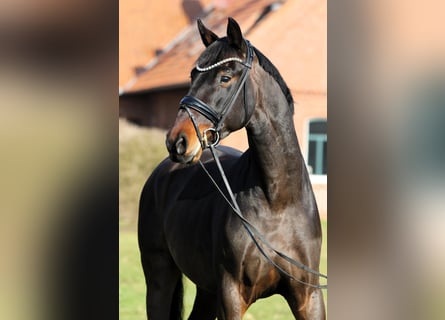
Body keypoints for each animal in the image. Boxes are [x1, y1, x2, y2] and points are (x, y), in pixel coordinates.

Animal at [137, 18, 324, 320]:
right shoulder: (231, 295)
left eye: (225, 77)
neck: (278, 201)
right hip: (159, 278)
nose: (177, 141)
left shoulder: (309, 297)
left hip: (206, 289)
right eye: (192, 76)